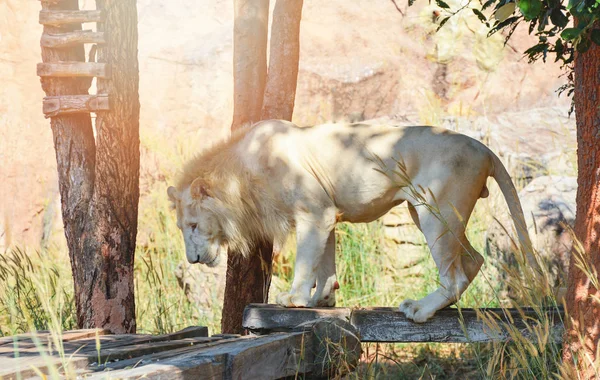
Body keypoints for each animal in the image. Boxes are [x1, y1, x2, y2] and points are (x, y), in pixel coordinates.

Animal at [165, 119, 536, 320]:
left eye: (194, 226)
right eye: (182, 228)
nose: (192, 259)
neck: (242, 174)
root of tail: (483, 148)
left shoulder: (314, 211)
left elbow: (305, 261)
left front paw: (294, 298)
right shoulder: (327, 213)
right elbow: (325, 263)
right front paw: (322, 300)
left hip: (436, 209)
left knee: (455, 272)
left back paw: (420, 310)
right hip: (430, 213)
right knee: (473, 259)